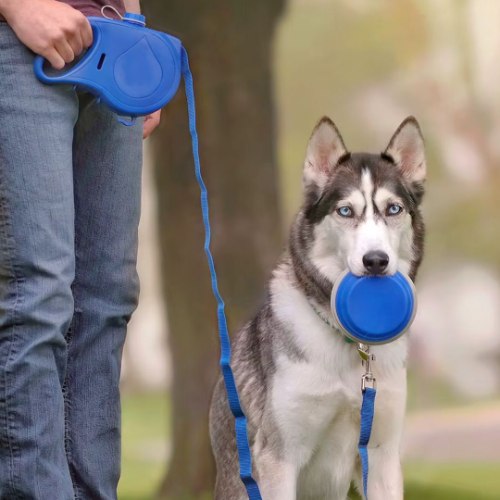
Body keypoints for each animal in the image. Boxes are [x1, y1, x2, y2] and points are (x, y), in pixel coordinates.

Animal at [209, 116, 424, 500]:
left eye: (393, 209)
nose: (376, 261)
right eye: (345, 211)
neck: (353, 347)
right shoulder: (279, 458)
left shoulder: (382, 456)